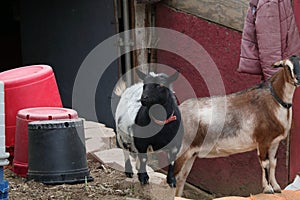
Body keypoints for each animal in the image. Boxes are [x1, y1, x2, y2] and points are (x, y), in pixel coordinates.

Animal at [173, 55, 300, 196]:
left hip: (191, 154)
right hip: (182, 150)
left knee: (181, 178)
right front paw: (268, 189)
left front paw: (277, 187)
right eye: (287, 66)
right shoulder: (263, 141)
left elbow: (273, 163)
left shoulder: (274, 142)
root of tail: (178, 109)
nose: (298, 79)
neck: (274, 101)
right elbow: (265, 163)